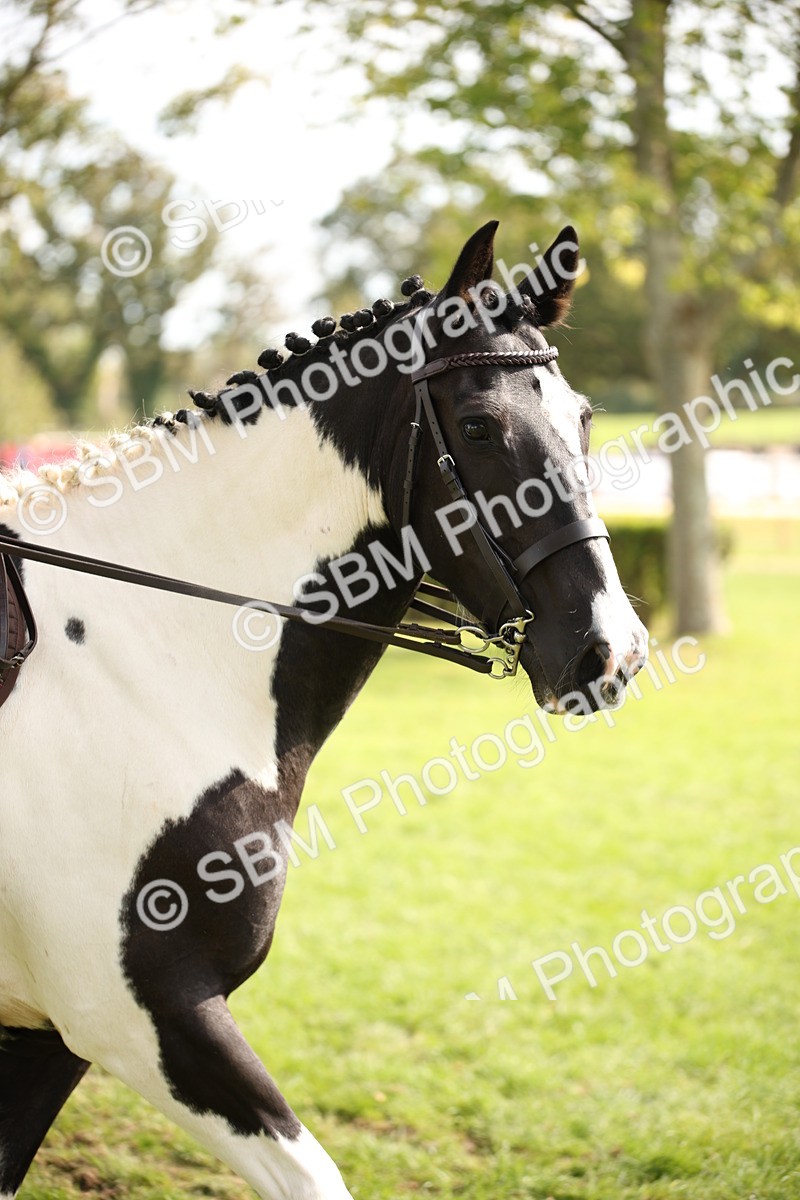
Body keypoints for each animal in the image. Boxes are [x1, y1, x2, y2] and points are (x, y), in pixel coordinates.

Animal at [0, 221, 647, 1200]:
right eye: (479, 426)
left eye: (582, 420)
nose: (612, 652)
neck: (142, 652)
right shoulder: (136, 1014)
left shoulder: (48, 1035)